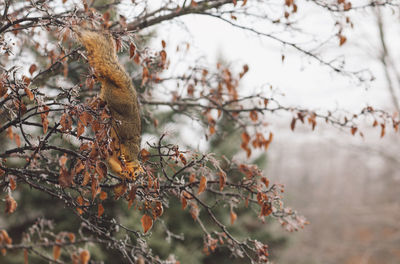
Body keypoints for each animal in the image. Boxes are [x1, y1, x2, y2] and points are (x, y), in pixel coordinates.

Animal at [74, 27, 143, 180]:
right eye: (139, 172)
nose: (134, 178)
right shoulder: (129, 148)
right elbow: (125, 155)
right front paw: (125, 165)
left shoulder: (112, 158)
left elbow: (112, 163)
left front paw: (124, 173)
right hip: (117, 101)